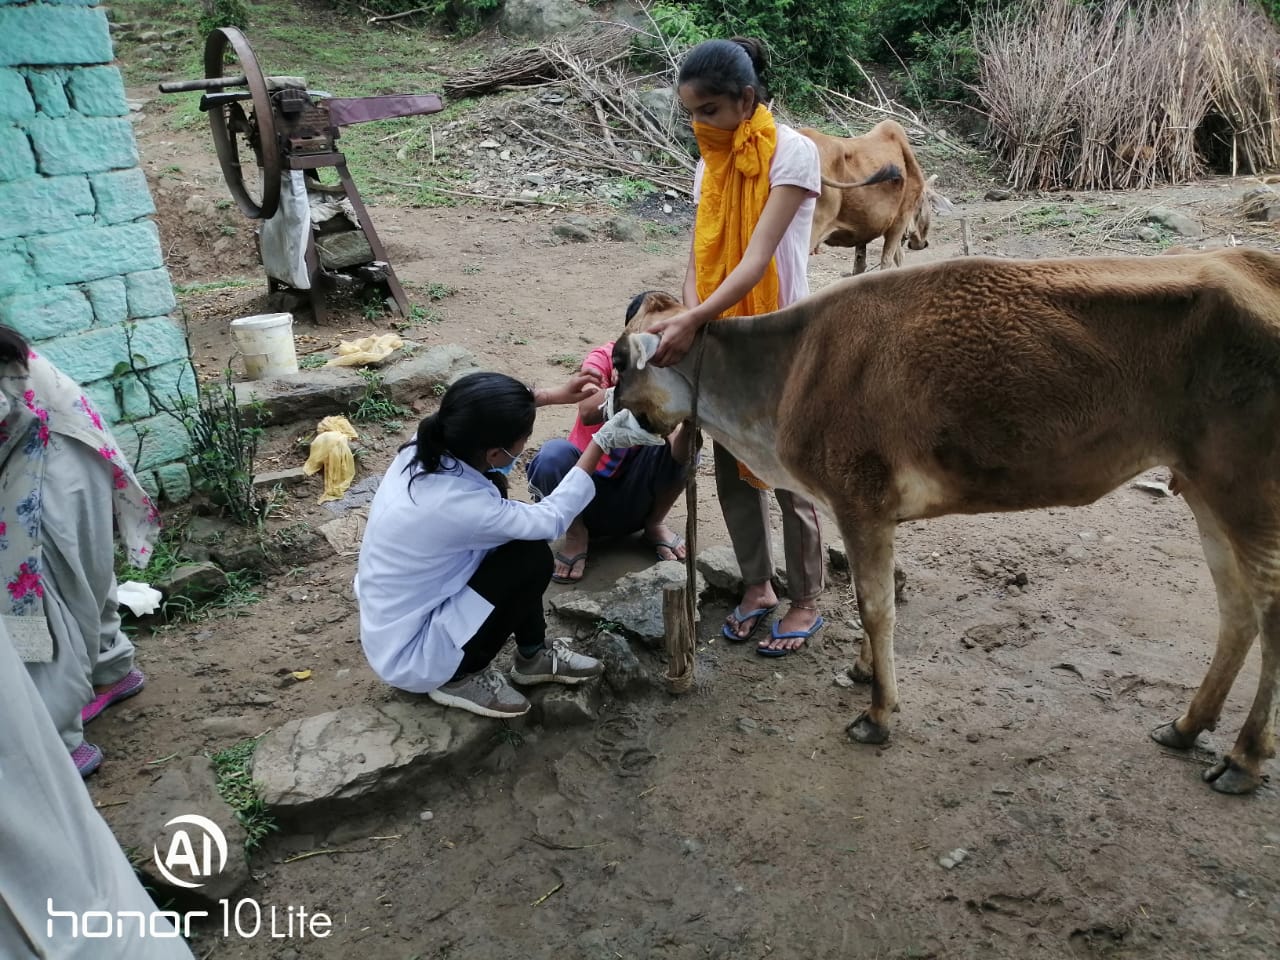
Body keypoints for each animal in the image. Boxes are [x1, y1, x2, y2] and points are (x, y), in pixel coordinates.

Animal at [606, 248, 1280, 798]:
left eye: (618, 361)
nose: (612, 414)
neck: (787, 375)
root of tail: (1252, 263)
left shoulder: (860, 500)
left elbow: (876, 606)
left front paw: (878, 714)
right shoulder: (866, 510)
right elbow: (871, 599)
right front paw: (861, 670)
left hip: (1247, 493)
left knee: (1268, 613)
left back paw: (1243, 760)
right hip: (1204, 490)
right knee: (1236, 611)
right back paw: (1187, 726)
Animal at [798, 120, 952, 273]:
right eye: (928, 204)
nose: (922, 243)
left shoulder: (863, 230)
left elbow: (860, 266)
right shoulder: (899, 221)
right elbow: (891, 260)